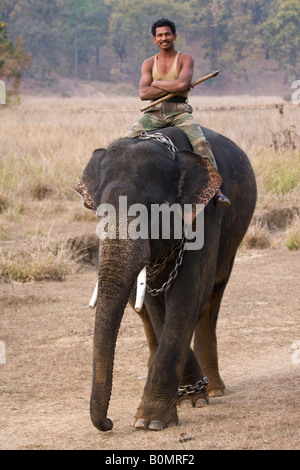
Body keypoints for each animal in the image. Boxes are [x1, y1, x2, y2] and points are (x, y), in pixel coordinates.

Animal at [77, 126, 255, 434]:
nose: (109, 423)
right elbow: (155, 301)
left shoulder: (206, 215)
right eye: (99, 213)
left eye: (151, 213)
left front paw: (152, 419)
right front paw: (185, 397)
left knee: (212, 296)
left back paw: (214, 389)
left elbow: (188, 293)